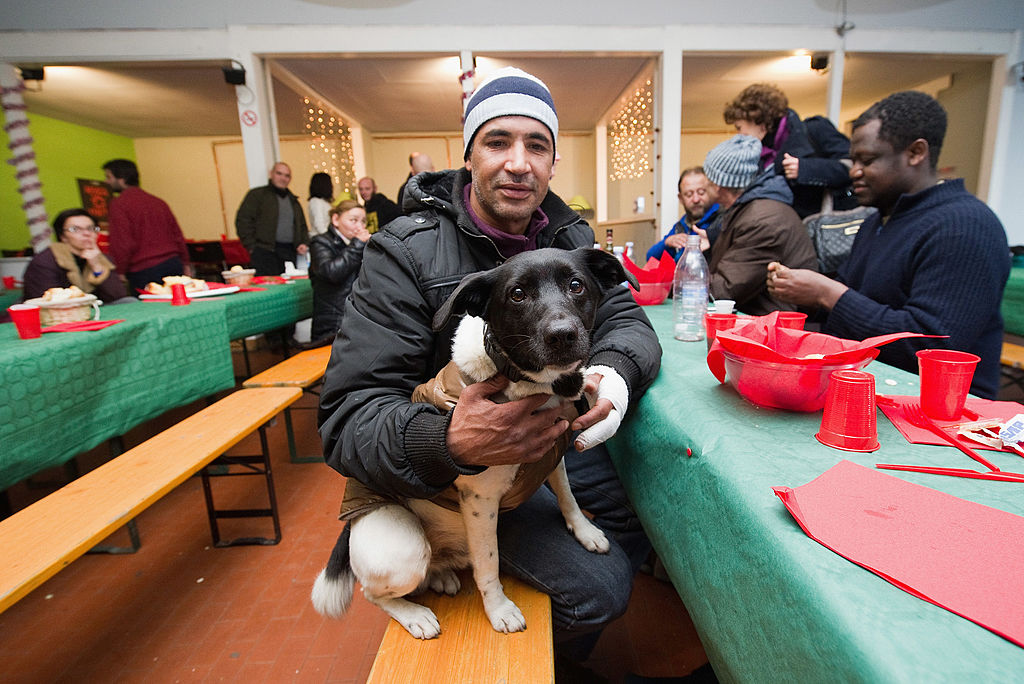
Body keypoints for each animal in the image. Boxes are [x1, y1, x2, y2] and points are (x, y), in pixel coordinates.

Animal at [307, 246, 634, 643]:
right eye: (517, 294)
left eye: (576, 285)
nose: (562, 336)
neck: (530, 383)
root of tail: (351, 524)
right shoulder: (480, 501)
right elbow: (488, 565)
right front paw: (499, 611)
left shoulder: (553, 456)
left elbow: (568, 497)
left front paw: (585, 532)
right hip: (405, 550)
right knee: (373, 593)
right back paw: (415, 615)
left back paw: (442, 577)